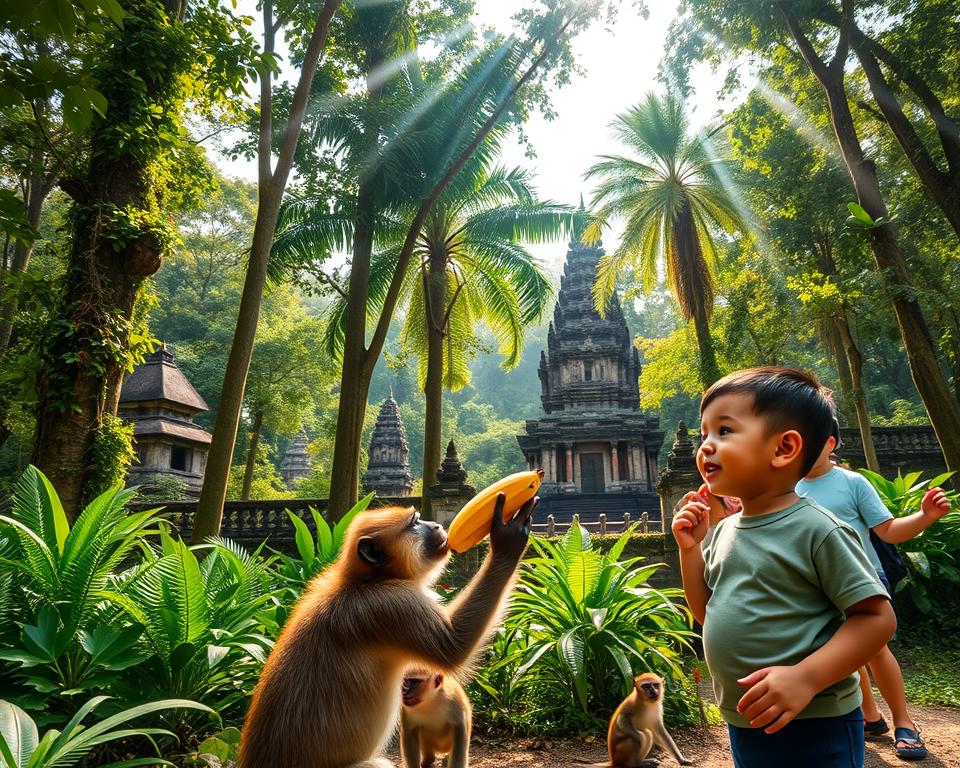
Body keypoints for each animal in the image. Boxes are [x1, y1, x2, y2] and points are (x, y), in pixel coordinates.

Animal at [237, 493, 537, 768]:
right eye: (415, 522)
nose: (437, 526)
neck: (367, 581)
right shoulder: (391, 604)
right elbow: (454, 647)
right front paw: (507, 540)